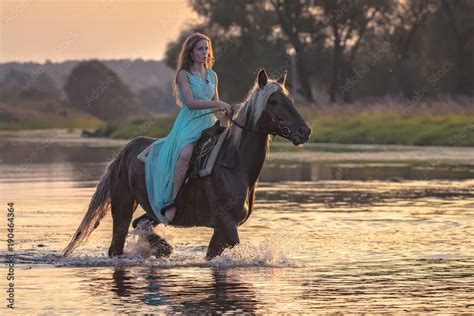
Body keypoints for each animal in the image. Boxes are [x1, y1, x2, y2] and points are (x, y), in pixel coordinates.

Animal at [62, 68, 312, 260]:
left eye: (290, 100)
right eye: (274, 101)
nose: (304, 131)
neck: (234, 164)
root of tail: (123, 153)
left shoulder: (221, 229)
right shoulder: (226, 222)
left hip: (153, 210)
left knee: (140, 224)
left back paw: (160, 246)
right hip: (122, 206)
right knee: (118, 245)